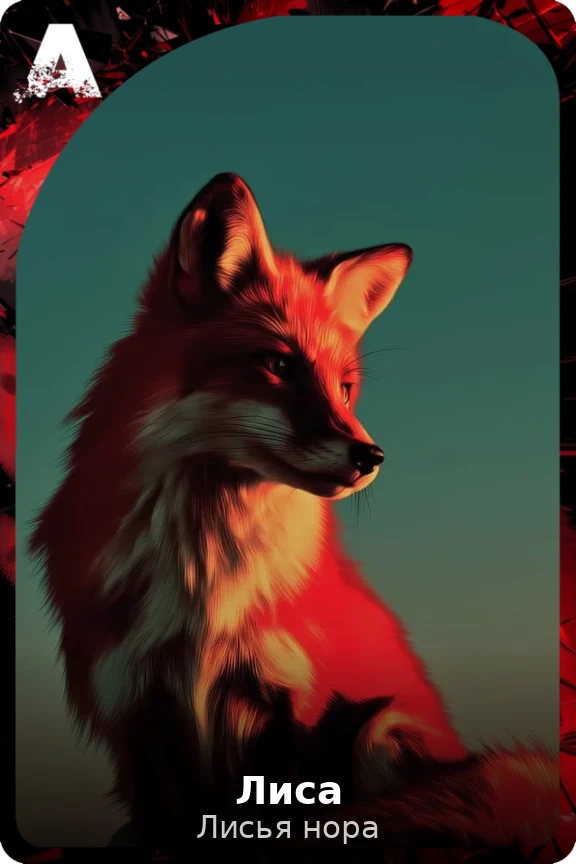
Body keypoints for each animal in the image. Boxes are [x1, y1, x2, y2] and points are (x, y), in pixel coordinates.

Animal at [31, 173, 558, 849]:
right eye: (280, 365)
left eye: (345, 389)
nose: (371, 456)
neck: (202, 582)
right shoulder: (135, 710)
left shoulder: (298, 708)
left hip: (384, 729)